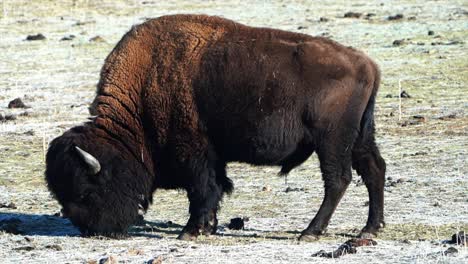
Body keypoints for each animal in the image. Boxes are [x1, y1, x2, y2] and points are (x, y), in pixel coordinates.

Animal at [45, 14, 386, 241]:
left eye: (86, 192)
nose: (91, 231)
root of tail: (367, 64)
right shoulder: (212, 156)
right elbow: (216, 187)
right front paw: (208, 226)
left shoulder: (193, 153)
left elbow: (202, 189)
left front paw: (191, 231)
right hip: (359, 137)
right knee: (373, 170)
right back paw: (370, 228)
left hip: (331, 141)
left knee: (337, 180)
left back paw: (310, 232)